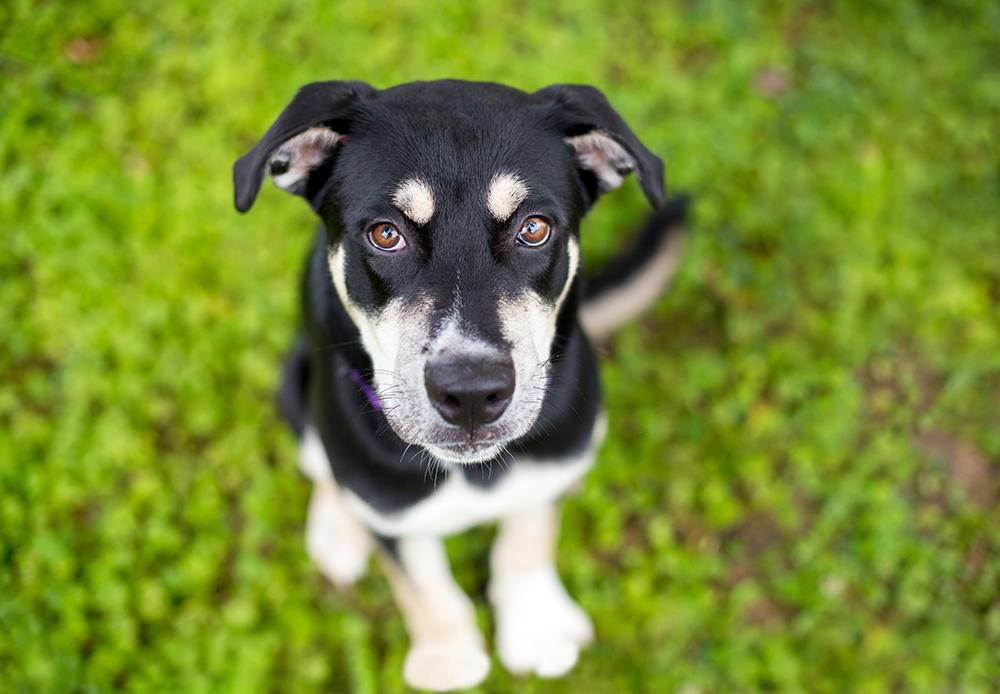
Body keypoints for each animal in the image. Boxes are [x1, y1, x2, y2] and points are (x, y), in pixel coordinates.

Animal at [234, 80, 688, 692]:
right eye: (385, 234)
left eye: (534, 228)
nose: (471, 394)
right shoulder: (391, 504)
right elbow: (423, 585)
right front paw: (449, 659)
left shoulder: (554, 457)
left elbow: (528, 537)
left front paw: (536, 629)